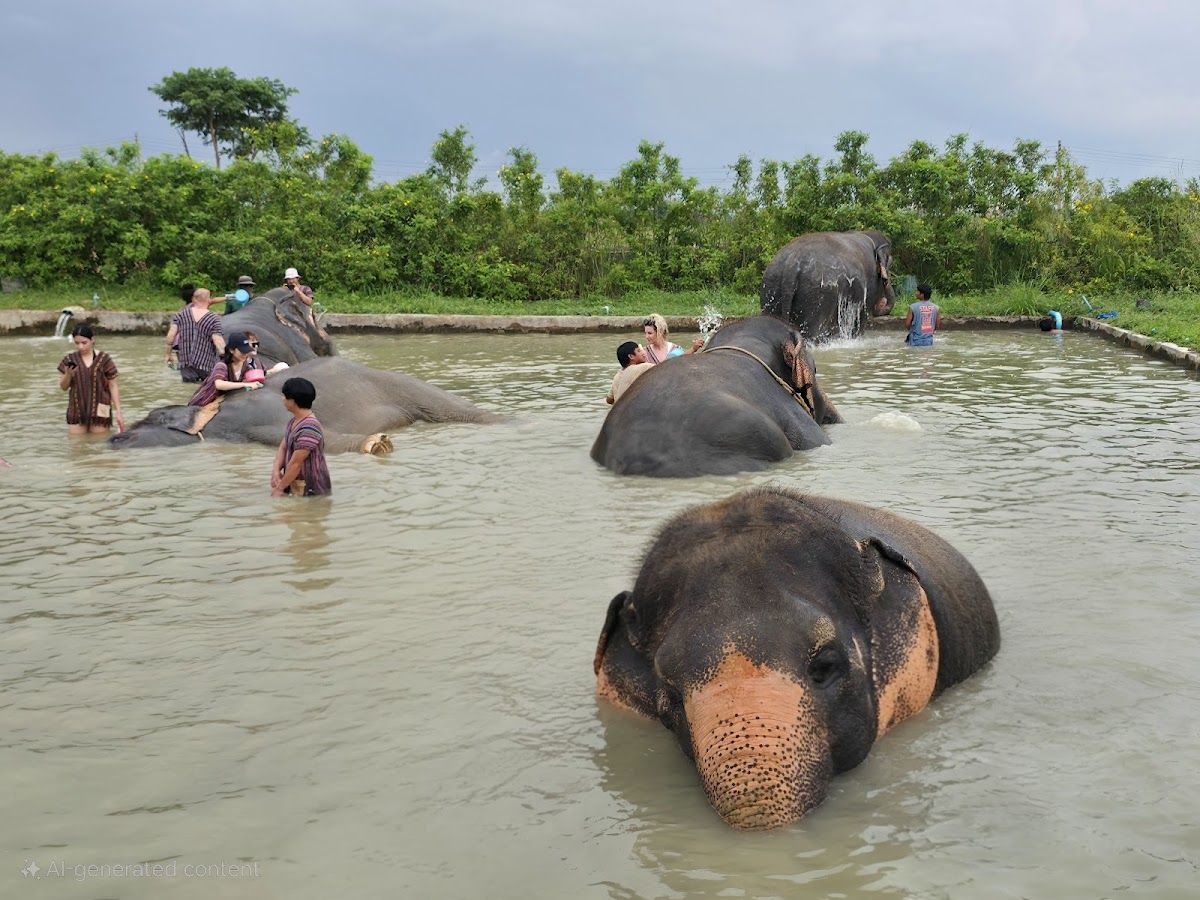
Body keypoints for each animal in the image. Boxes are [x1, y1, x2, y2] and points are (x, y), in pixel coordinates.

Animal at [760, 230, 896, 341]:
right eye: (890, 264)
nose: (886, 280)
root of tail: (792, 262)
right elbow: (861, 318)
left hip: (771, 284)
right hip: (818, 293)